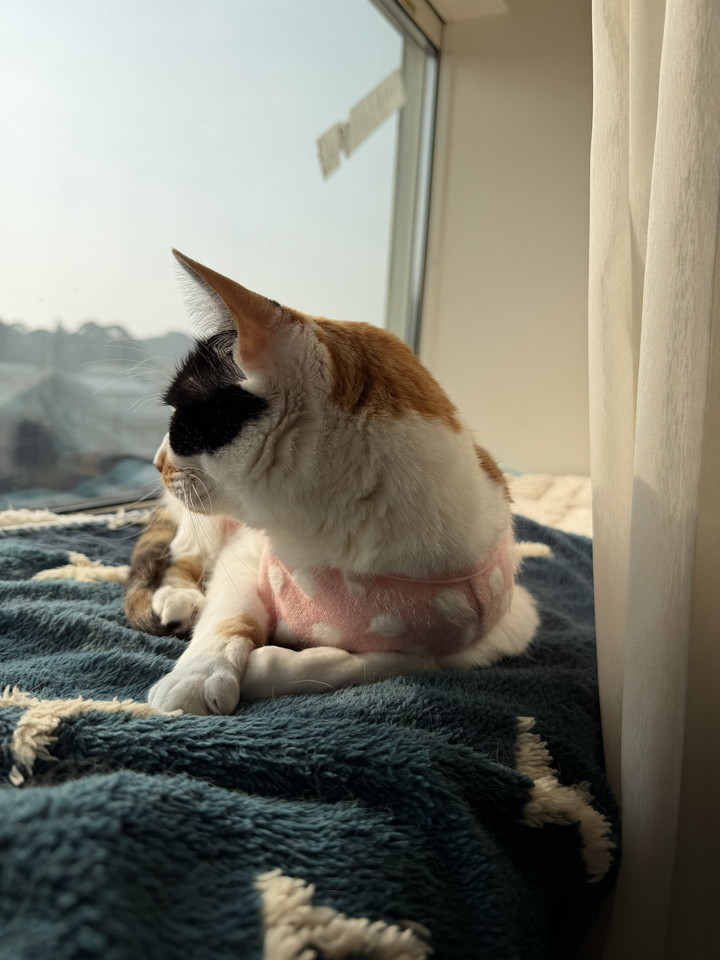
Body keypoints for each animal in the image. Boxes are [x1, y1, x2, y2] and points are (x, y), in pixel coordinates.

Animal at [124, 250, 539, 715]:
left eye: (182, 422)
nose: (157, 462)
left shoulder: (493, 634)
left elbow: (374, 662)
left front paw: (268, 667)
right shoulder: (247, 555)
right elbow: (229, 614)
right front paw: (197, 677)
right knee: (184, 556)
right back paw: (180, 599)